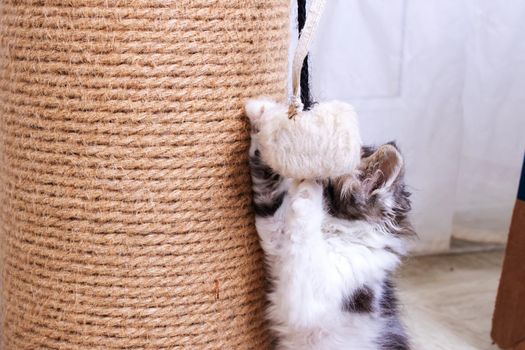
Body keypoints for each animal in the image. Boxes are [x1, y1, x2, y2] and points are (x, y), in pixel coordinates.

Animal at [246, 102, 414, 348]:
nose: (298, 179)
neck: (335, 233)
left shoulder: (314, 294)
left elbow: (305, 233)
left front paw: (308, 189)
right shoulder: (278, 240)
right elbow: (273, 203)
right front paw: (263, 116)